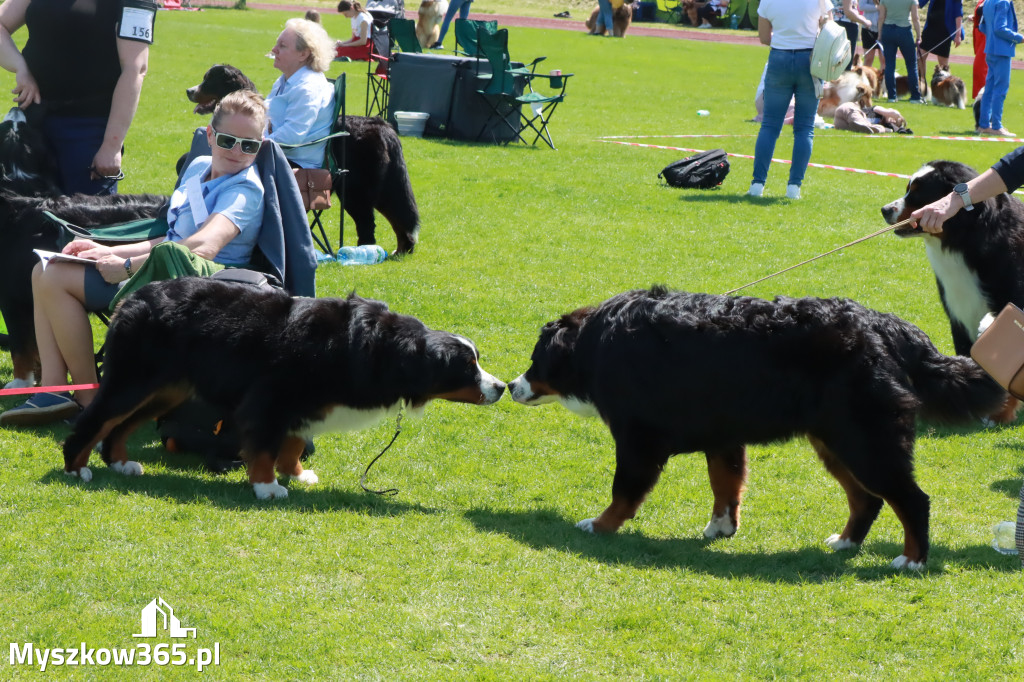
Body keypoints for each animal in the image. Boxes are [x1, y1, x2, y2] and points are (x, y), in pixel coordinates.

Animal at [62, 276, 503, 499]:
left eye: (477, 359)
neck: (376, 347)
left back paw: (120, 462)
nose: (499, 386)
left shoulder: (302, 404)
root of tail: (134, 295)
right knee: (94, 420)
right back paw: (76, 468)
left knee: (119, 427)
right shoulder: (271, 399)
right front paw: (267, 486)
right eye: (468, 367)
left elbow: (291, 444)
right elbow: (265, 447)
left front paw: (297, 474)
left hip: (165, 391)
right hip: (134, 381)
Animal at [185, 64, 419, 254]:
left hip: (356, 191)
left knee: (368, 224)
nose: (189, 91)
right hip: (383, 189)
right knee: (400, 217)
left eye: (209, 80)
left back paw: (362, 253)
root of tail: (383, 126)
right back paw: (401, 250)